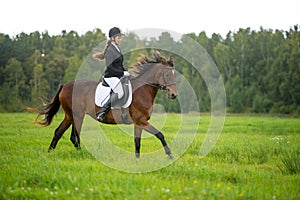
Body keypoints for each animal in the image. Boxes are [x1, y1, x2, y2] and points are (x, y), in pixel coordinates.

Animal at [32, 51, 178, 158]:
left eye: (174, 75)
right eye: (166, 74)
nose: (173, 95)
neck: (142, 91)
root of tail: (64, 85)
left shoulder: (139, 123)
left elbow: (137, 142)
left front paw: (137, 161)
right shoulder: (141, 120)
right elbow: (160, 134)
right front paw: (170, 155)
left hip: (69, 116)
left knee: (59, 132)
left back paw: (50, 153)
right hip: (77, 115)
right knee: (74, 136)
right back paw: (81, 155)